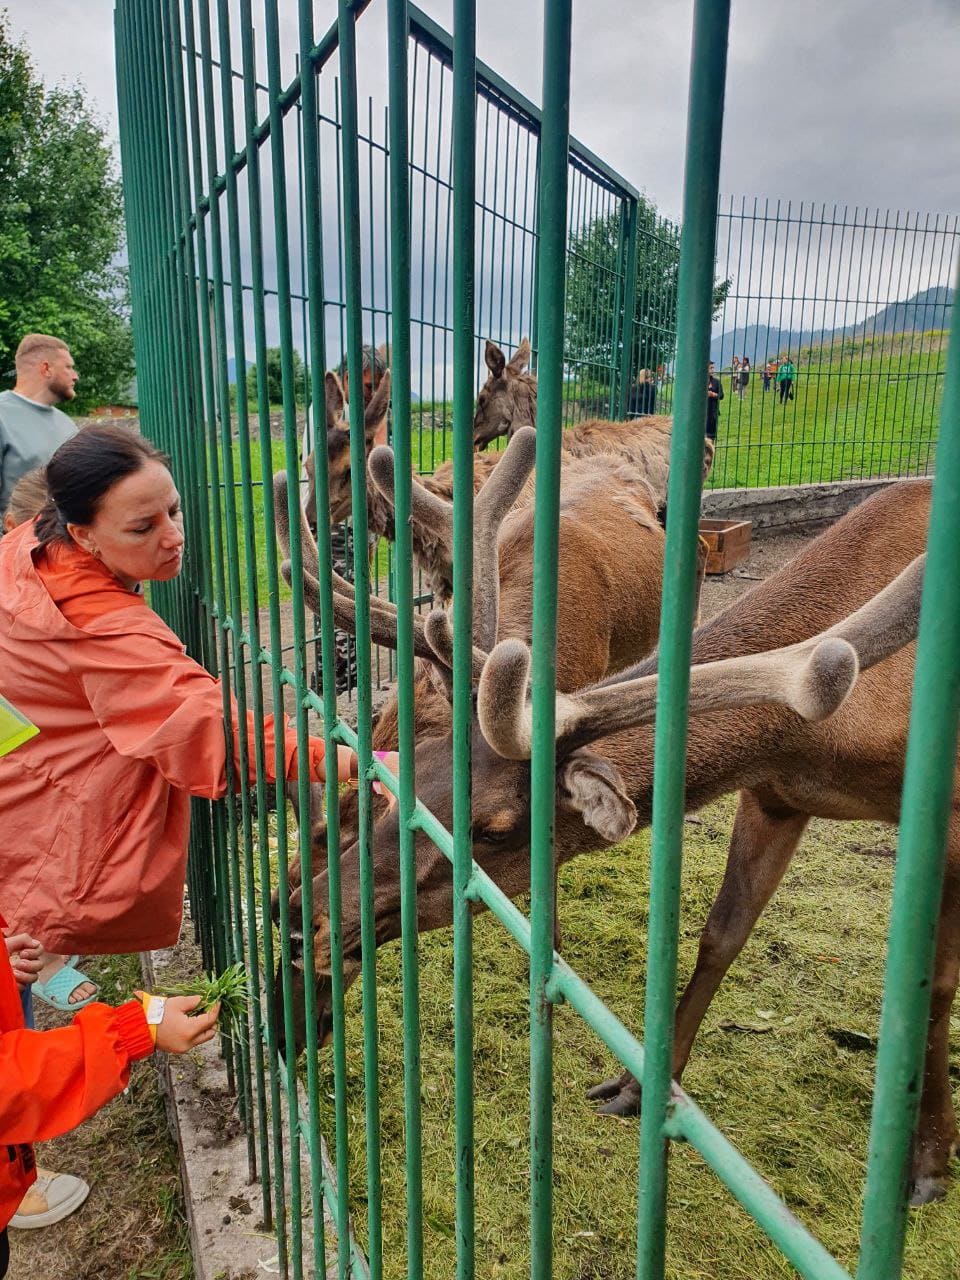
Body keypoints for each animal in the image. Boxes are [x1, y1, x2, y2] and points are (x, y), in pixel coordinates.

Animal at [276, 468, 957, 1198]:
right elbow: (721, 935)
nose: (305, 915)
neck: (826, 735)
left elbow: (939, 987)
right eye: (416, 776)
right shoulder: (773, 797)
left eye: (495, 829)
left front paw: (929, 1159)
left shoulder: (949, 825)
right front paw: (639, 1088)